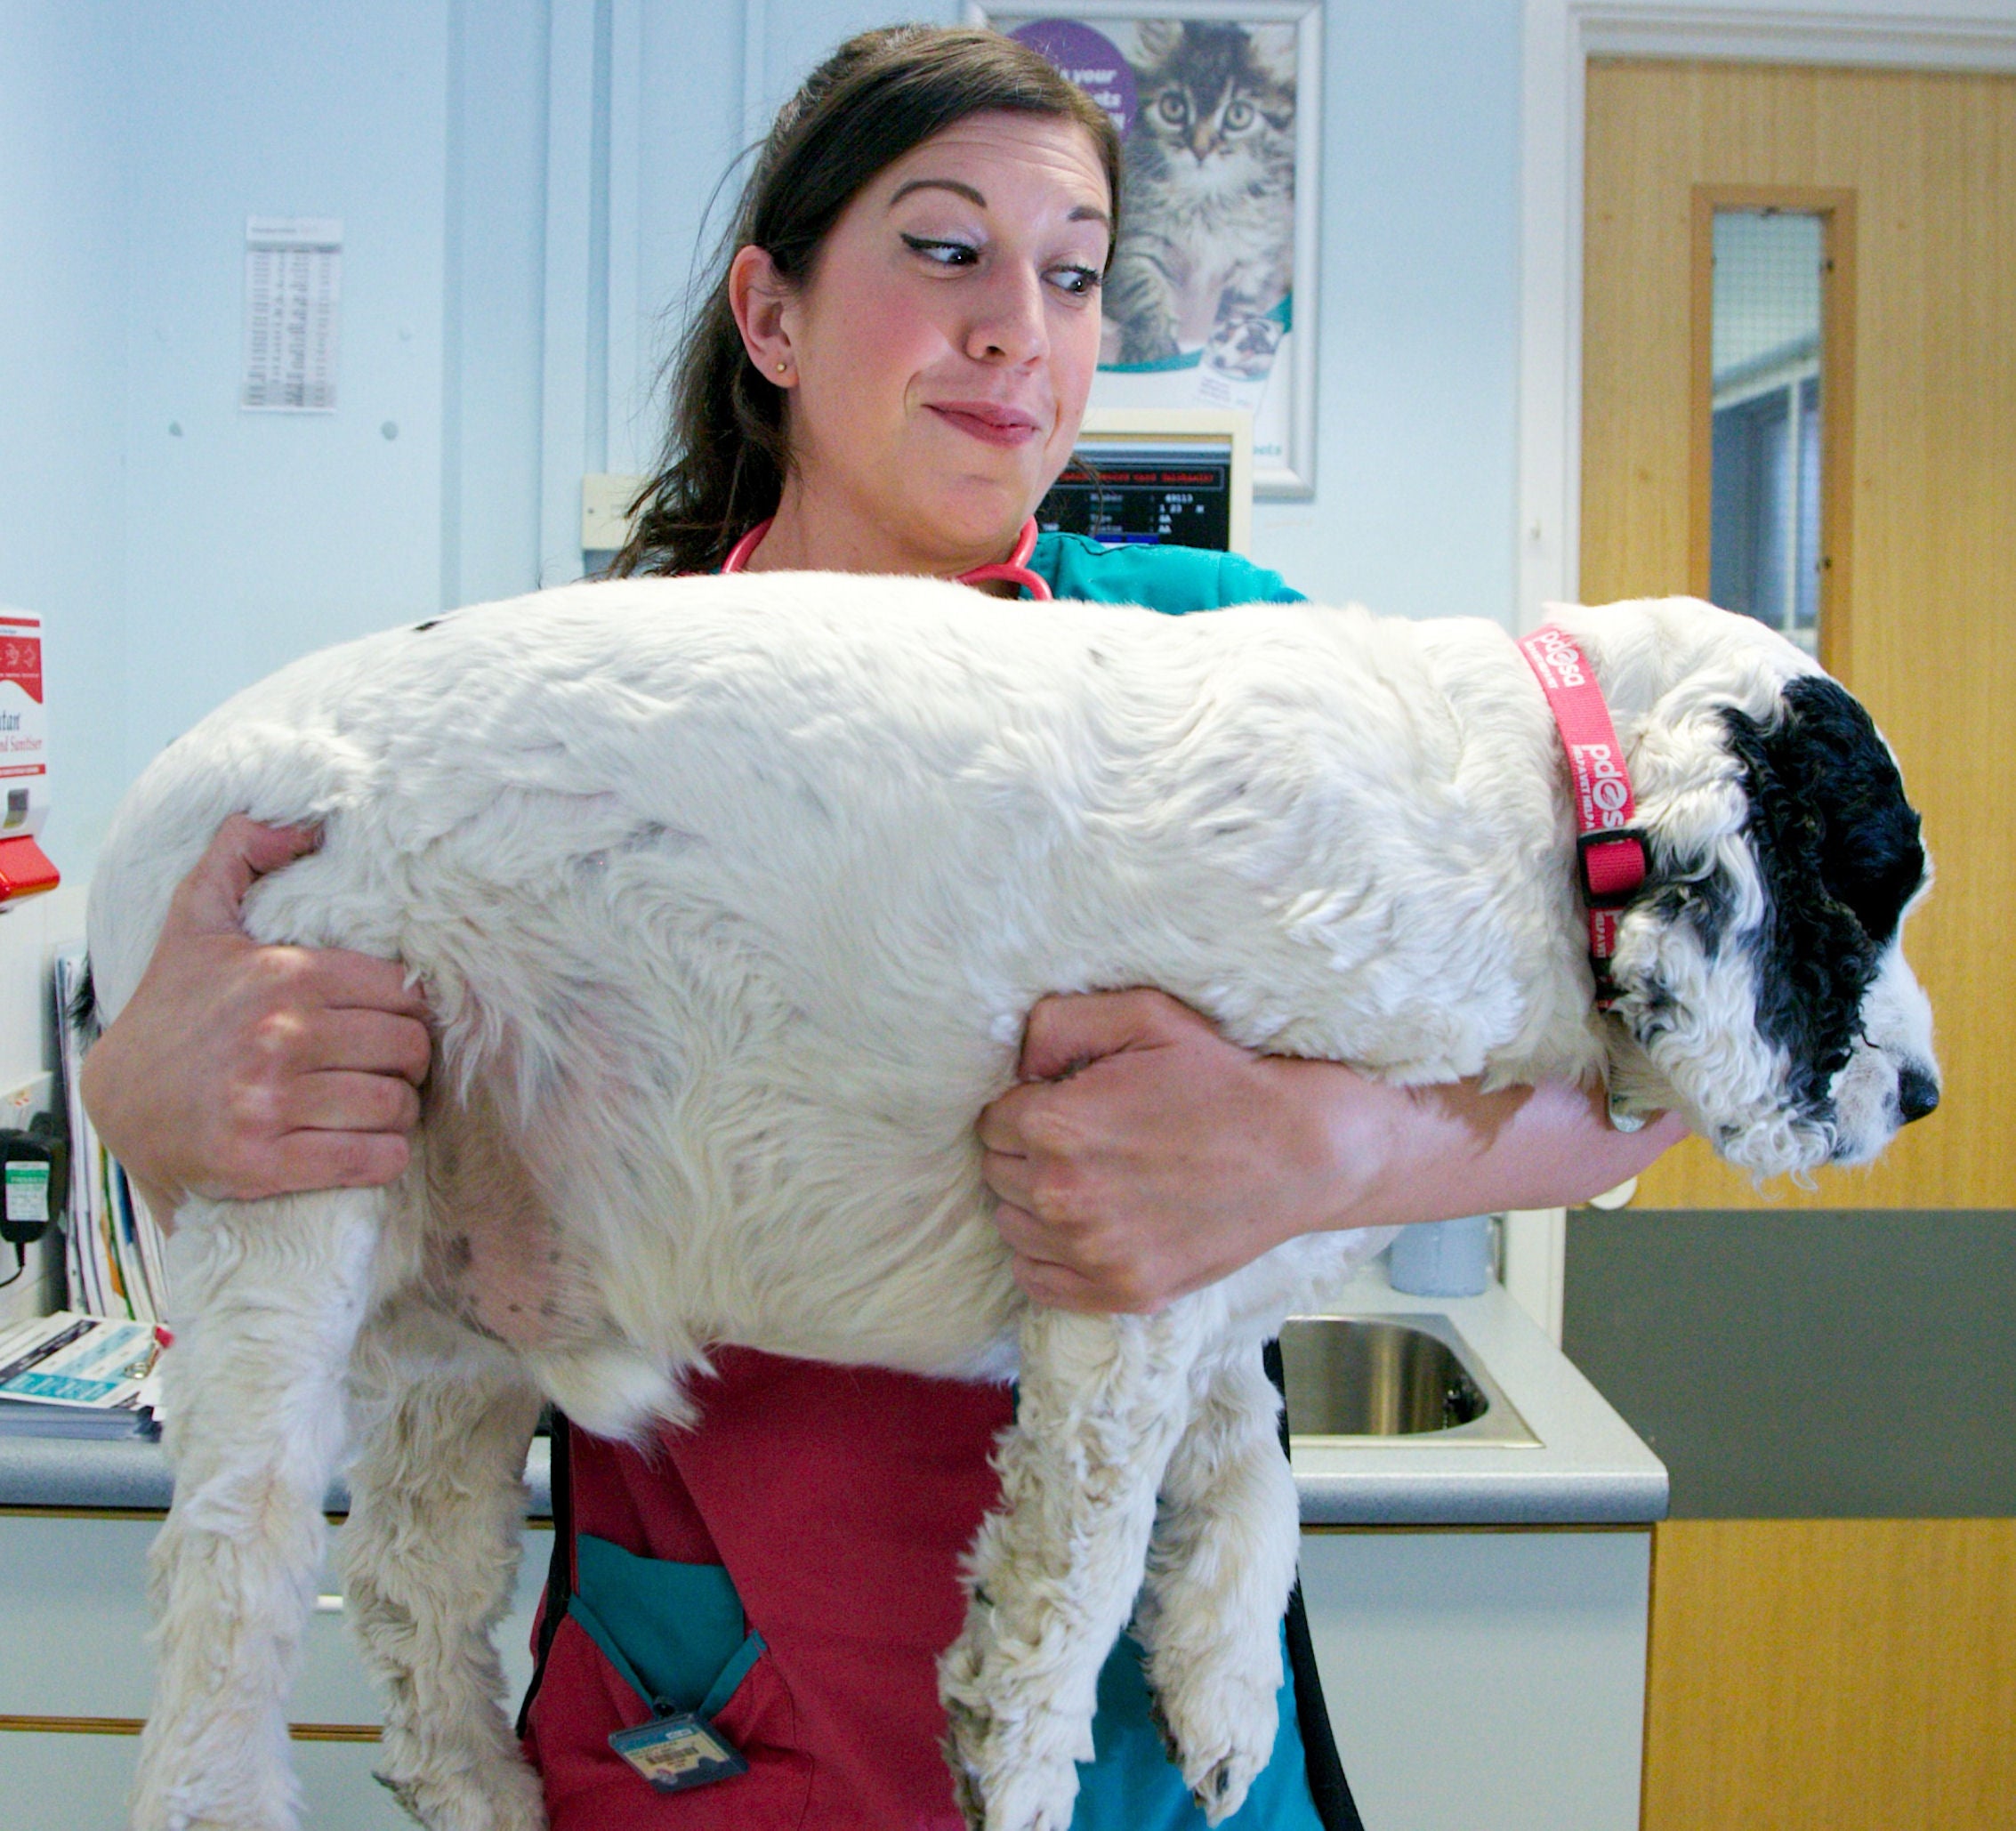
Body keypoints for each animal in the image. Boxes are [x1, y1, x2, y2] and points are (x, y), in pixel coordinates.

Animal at [82, 580, 1935, 1831]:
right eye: (1875, 884)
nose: (1921, 1094)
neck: (1526, 809)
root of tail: (158, 796)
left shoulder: (1228, 1242)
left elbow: (1253, 1483)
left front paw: (1219, 1694)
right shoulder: (1126, 1255)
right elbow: (1082, 1553)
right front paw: (1023, 1754)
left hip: (459, 1300)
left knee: (407, 1582)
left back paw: (481, 1784)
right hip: (285, 1216)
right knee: (226, 1602)